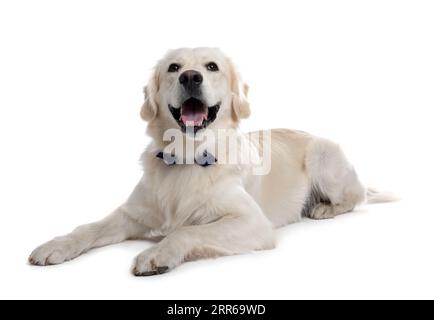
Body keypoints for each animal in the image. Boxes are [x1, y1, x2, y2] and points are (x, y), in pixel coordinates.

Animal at [27, 47, 396, 276]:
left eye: (212, 67)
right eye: (173, 68)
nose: (191, 77)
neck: (186, 157)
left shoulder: (252, 222)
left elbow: (187, 231)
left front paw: (157, 254)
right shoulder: (131, 214)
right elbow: (89, 227)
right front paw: (55, 245)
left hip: (323, 154)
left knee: (356, 197)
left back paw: (323, 208)